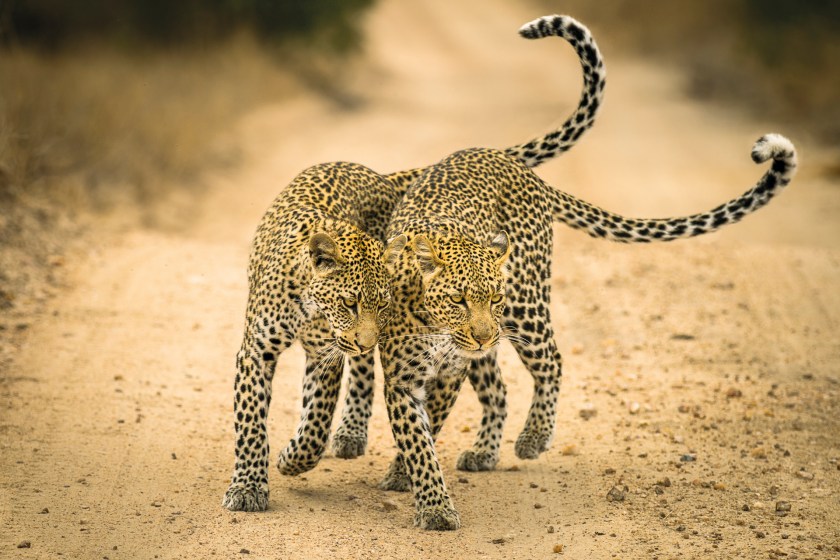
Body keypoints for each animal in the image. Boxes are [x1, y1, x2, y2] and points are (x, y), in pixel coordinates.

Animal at [378, 132, 796, 528]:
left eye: (493, 297)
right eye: (458, 299)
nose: (481, 335)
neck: (435, 325)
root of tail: (513, 163)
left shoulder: (451, 371)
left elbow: (427, 432)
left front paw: (416, 490)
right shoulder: (404, 378)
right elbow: (419, 442)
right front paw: (428, 498)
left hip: (524, 305)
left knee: (551, 361)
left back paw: (533, 437)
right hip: (499, 335)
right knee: (499, 389)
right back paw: (484, 451)